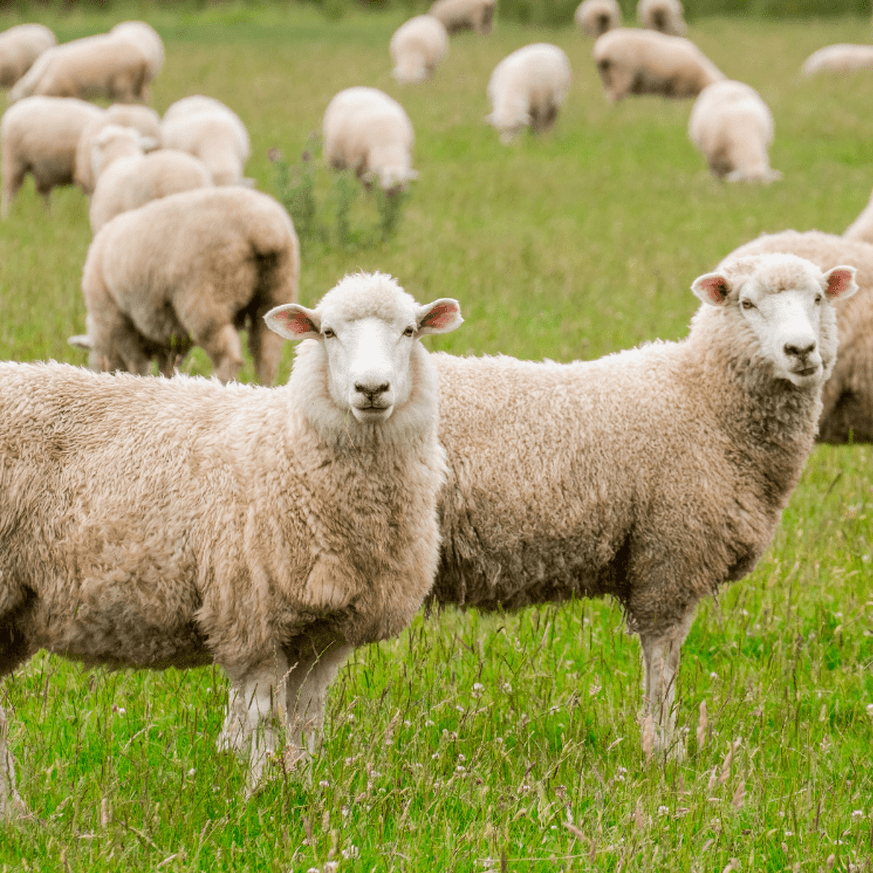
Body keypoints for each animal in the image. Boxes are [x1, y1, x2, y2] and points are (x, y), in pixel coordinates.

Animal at [0, 271, 464, 812]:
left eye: (410, 331)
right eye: (327, 333)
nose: (371, 389)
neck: (290, 449)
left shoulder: (324, 636)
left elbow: (306, 721)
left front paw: (304, 792)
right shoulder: (250, 618)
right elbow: (264, 720)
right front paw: (261, 797)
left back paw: (15, 813)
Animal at [7, 30, 153, 104]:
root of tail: (142, 57)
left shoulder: (69, 88)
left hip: (124, 79)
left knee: (127, 97)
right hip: (138, 82)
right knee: (144, 96)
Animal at [77, 186, 300, 385]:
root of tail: (263, 229)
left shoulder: (118, 321)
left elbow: (137, 365)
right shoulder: (169, 335)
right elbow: (168, 367)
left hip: (207, 297)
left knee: (229, 358)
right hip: (276, 291)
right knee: (267, 356)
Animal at [430, 253, 857, 755]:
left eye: (819, 297)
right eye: (746, 303)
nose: (801, 350)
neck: (704, 399)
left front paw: (662, 741)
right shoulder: (670, 555)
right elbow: (662, 660)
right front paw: (663, 748)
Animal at [593, 28, 724, 102]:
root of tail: (602, 50)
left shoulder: (670, 89)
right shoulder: (680, 86)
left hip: (606, 75)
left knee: (608, 95)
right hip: (621, 72)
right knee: (616, 95)